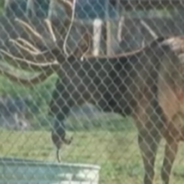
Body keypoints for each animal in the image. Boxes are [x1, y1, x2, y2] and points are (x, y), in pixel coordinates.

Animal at [1, 0, 184, 184]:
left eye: (64, 76)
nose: (52, 107)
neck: (125, 94)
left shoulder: (148, 123)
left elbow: (149, 174)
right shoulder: (172, 135)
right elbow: (165, 173)